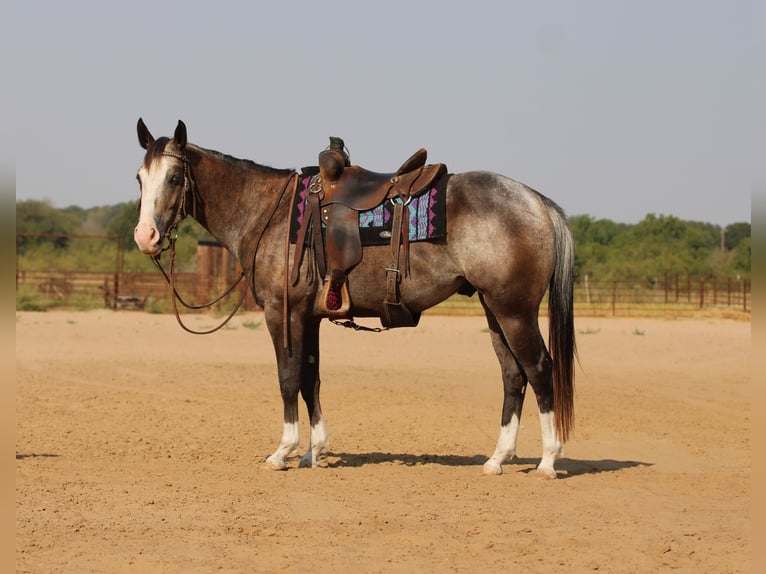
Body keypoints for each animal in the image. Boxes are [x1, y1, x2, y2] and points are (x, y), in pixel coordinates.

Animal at [134, 119, 576, 480]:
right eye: (140, 178)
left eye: (175, 177)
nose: (146, 236)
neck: (267, 214)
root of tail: (537, 201)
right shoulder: (308, 316)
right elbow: (310, 378)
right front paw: (315, 452)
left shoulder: (282, 313)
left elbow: (288, 377)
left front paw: (283, 452)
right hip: (493, 309)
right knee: (513, 376)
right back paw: (497, 460)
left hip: (514, 311)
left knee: (540, 369)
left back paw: (548, 461)